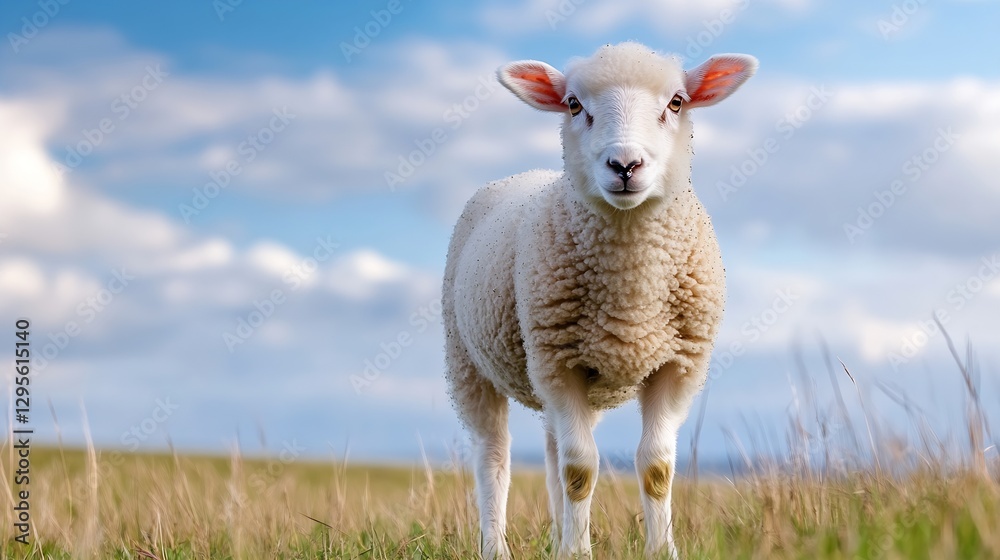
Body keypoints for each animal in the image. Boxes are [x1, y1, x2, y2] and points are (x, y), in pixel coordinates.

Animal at [442, 42, 757, 559]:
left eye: (677, 102)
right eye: (573, 104)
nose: (625, 165)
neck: (630, 293)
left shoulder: (677, 365)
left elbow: (654, 467)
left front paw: (660, 550)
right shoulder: (557, 362)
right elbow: (580, 471)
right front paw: (578, 552)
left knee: (553, 454)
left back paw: (557, 537)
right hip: (469, 361)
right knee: (493, 457)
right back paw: (497, 547)